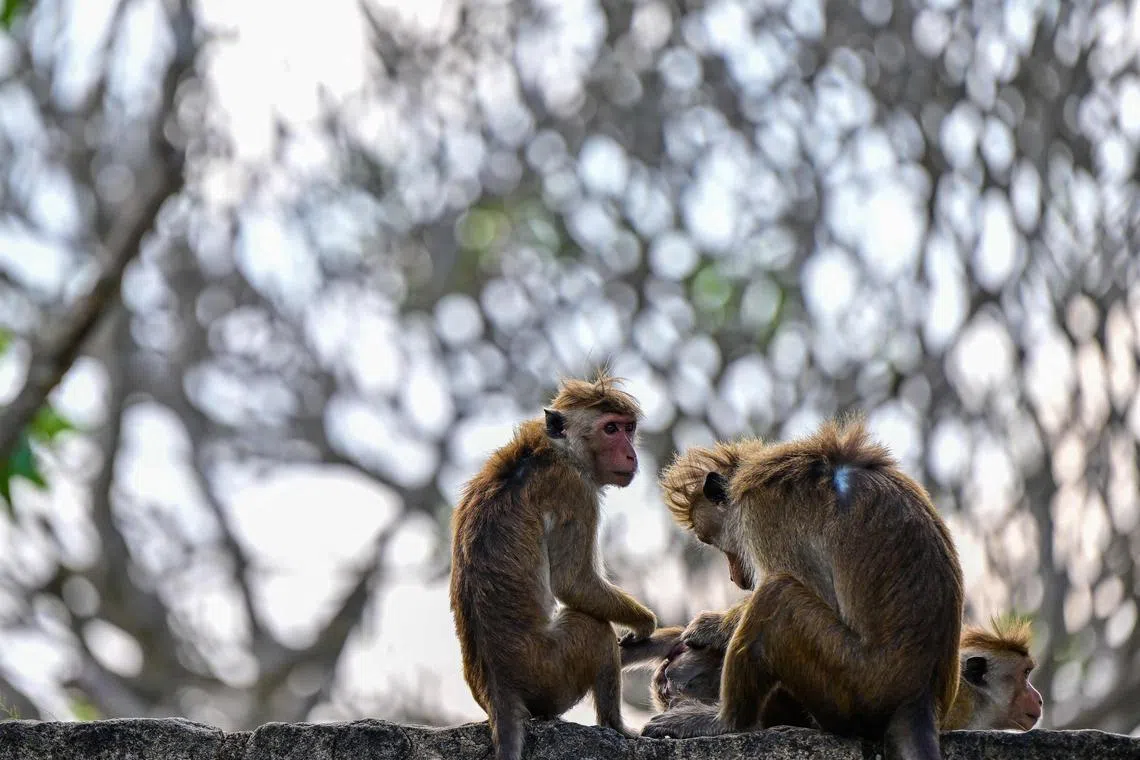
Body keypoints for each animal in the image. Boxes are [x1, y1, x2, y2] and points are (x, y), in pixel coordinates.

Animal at [449, 369, 658, 760]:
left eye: (628, 428)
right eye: (610, 429)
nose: (631, 453)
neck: (557, 449)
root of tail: (499, 690)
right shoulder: (575, 491)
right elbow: (572, 582)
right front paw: (644, 622)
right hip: (551, 675)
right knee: (593, 628)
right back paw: (617, 727)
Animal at [642, 417, 965, 760]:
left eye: (714, 541)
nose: (735, 578)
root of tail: (919, 695)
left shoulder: (764, 517)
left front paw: (713, 627)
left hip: (856, 685)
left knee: (777, 595)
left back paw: (727, 721)